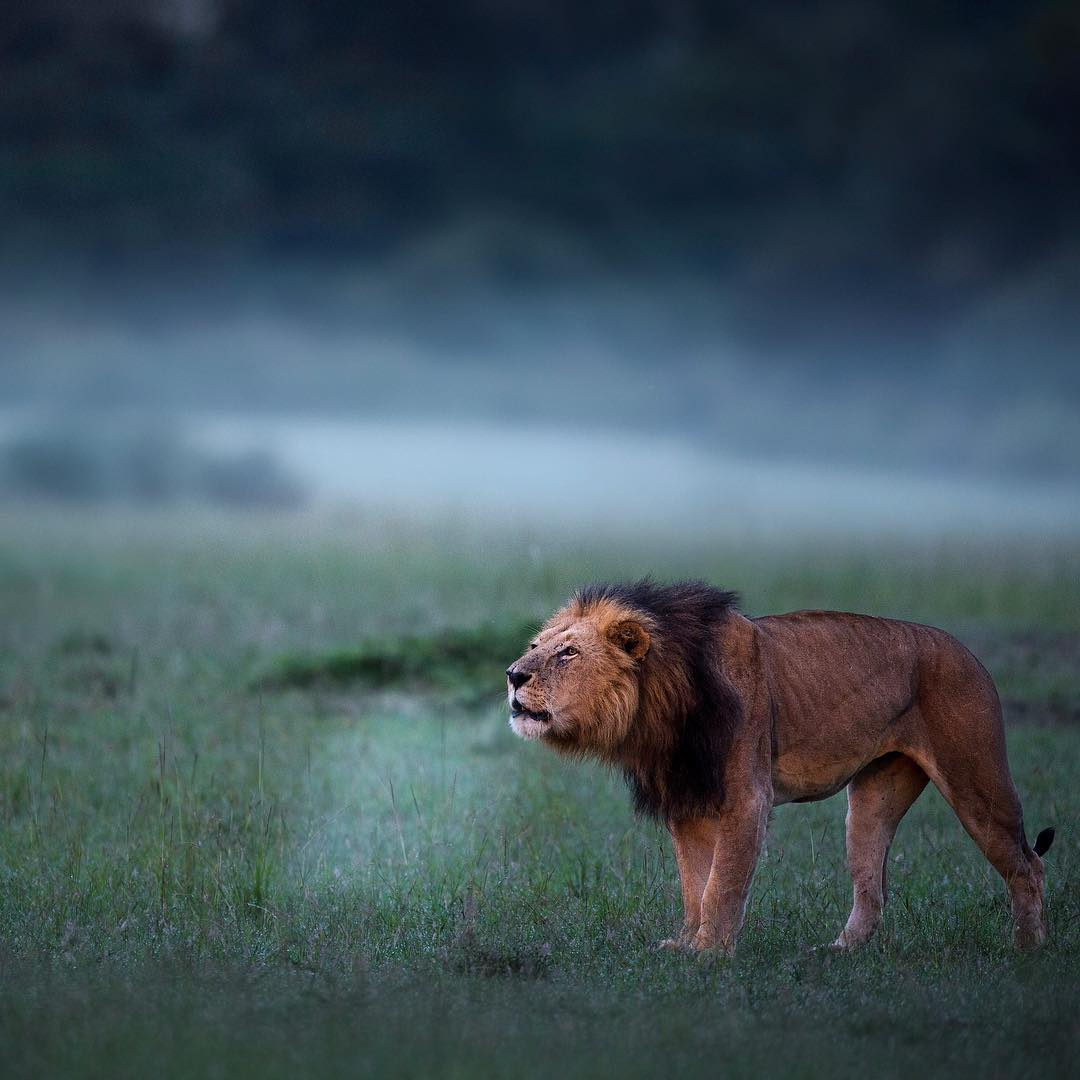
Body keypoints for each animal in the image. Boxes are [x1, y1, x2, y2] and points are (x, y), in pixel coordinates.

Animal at [505, 583, 1054, 954]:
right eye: (535, 647)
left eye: (568, 653)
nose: (513, 675)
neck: (659, 701)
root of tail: (968, 652)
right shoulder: (688, 802)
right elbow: (693, 884)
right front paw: (685, 946)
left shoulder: (747, 798)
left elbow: (722, 884)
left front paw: (709, 954)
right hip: (872, 801)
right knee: (872, 886)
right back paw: (839, 953)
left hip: (976, 778)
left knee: (1028, 864)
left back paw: (1027, 949)